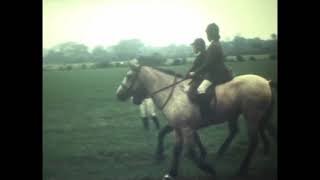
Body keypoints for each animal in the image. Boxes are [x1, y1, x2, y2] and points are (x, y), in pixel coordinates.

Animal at [116, 60, 276, 180]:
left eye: (129, 75)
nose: (119, 94)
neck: (174, 93)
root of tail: (265, 81)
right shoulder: (178, 128)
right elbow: (176, 149)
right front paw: (171, 172)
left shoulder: (186, 128)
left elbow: (190, 153)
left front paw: (209, 169)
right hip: (246, 115)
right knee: (247, 131)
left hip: (252, 116)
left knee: (253, 141)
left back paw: (242, 169)